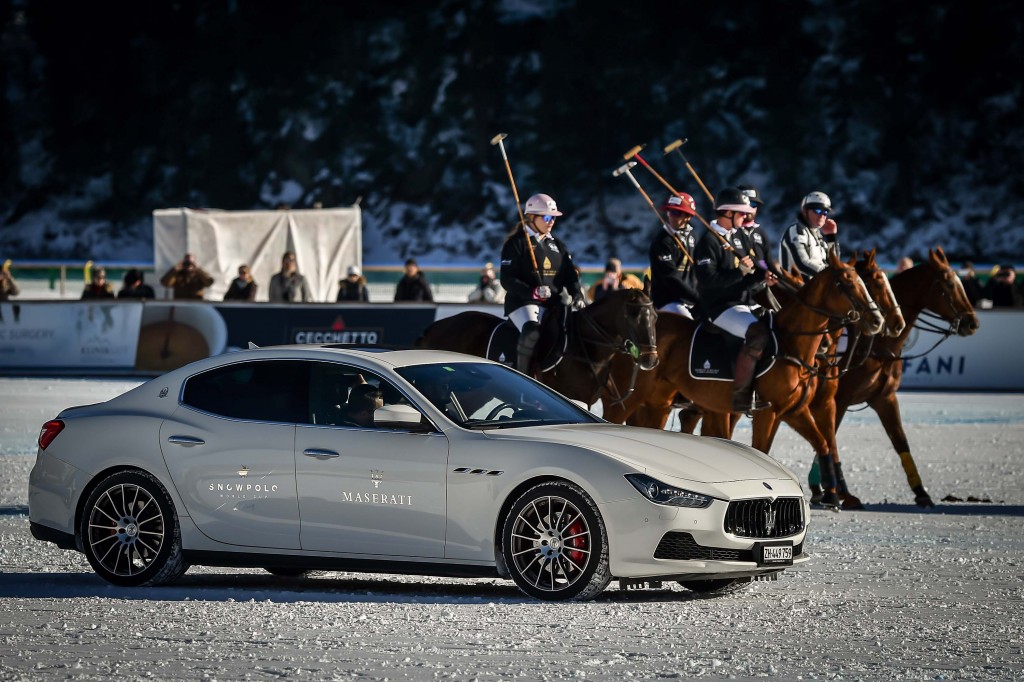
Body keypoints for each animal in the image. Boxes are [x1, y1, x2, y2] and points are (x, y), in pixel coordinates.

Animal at [806, 245, 974, 503]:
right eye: (948, 283)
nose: (972, 322)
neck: (878, 348)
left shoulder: (884, 398)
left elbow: (901, 442)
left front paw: (921, 493)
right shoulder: (839, 399)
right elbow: (830, 437)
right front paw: (835, 490)